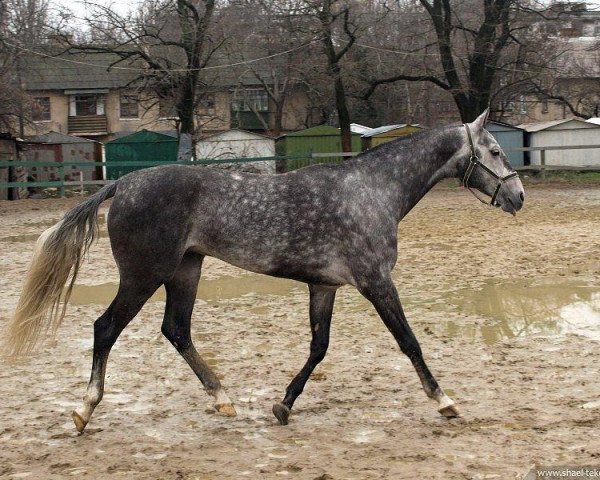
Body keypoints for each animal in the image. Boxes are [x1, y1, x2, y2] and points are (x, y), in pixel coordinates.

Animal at [4, 109, 524, 432]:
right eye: (496, 151)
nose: (518, 197)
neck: (373, 191)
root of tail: (124, 182)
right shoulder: (376, 282)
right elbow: (409, 341)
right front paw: (445, 402)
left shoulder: (325, 286)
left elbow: (318, 347)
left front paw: (282, 405)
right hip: (142, 276)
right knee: (106, 327)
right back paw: (83, 411)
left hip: (186, 271)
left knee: (176, 330)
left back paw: (223, 399)